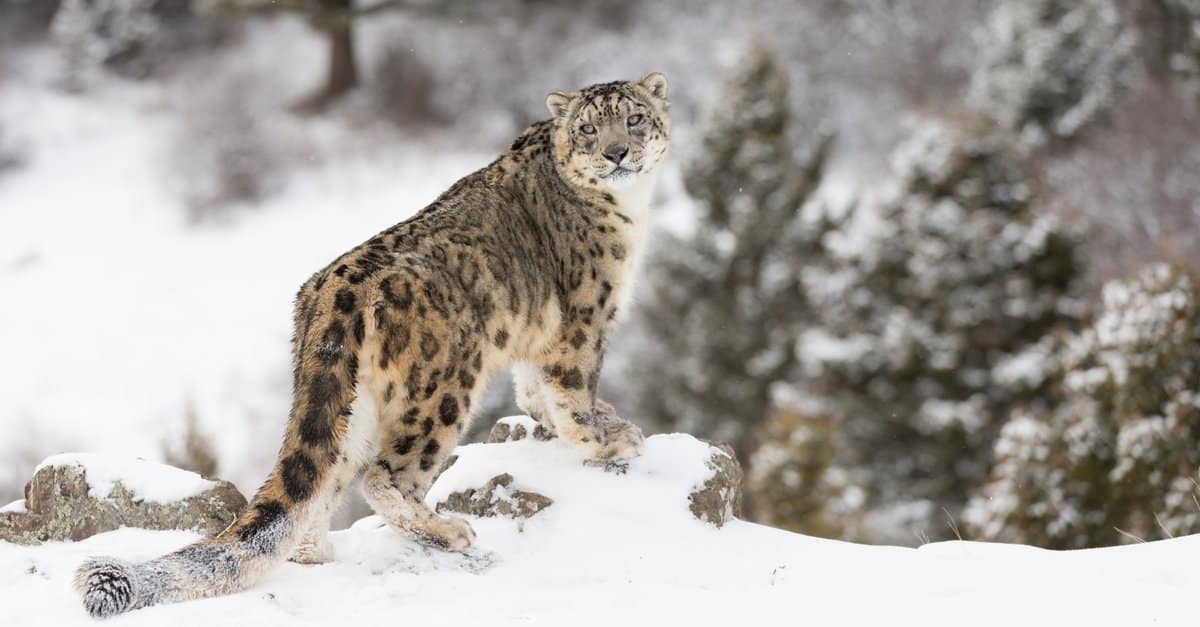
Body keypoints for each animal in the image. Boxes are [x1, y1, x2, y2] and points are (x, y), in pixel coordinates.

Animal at [74, 72, 671, 618]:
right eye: (589, 128)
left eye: (634, 118)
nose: (617, 152)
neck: (629, 209)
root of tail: (331, 292)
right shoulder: (583, 321)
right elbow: (573, 393)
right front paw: (608, 440)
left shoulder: (539, 337)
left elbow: (534, 391)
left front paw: (584, 423)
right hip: (444, 388)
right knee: (386, 476)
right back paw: (447, 531)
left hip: (349, 405)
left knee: (323, 481)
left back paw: (318, 551)